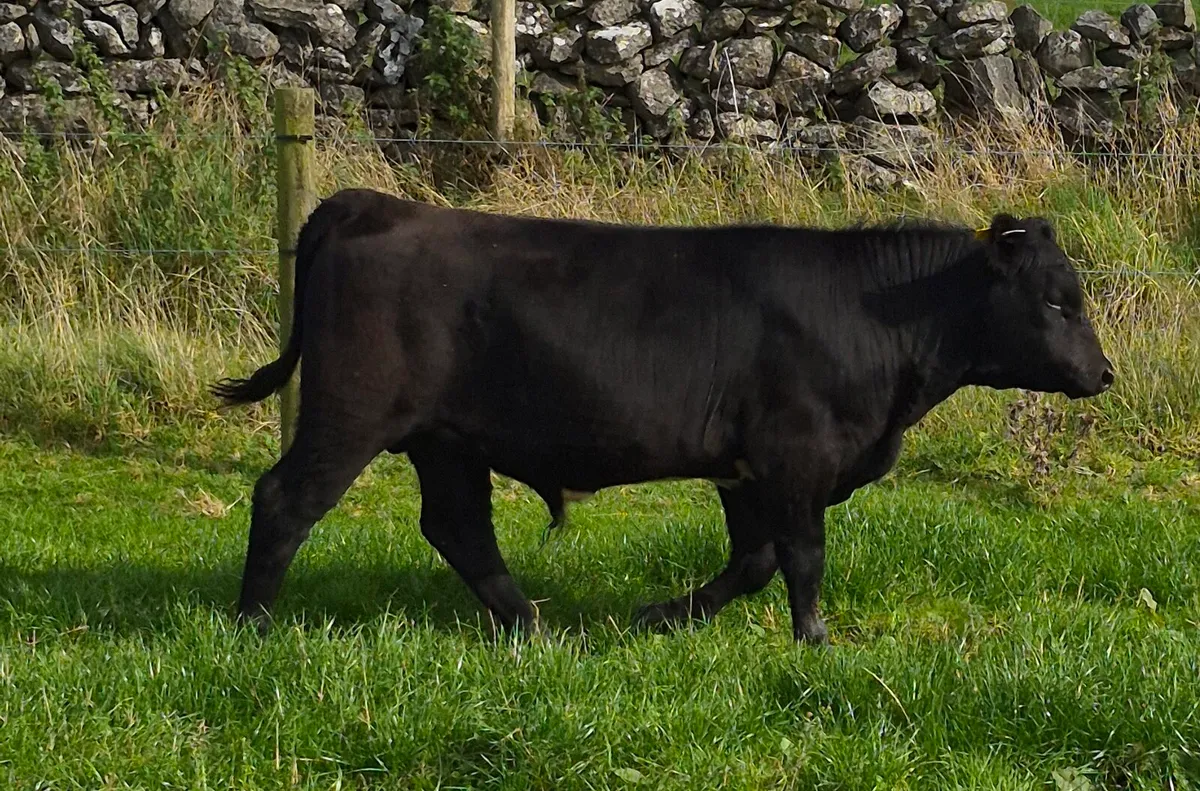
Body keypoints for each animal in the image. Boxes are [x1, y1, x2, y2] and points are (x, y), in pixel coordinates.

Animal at [211, 188, 1114, 645]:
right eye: (1056, 299)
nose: (1103, 373)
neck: (875, 312)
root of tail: (370, 202)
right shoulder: (797, 453)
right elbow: (803, 557)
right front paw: (816, 641)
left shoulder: (746, 468)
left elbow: (754, 560)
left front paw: (664, 615)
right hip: (353, 411)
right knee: (286, 499)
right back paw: (253, 624)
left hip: (445, 438)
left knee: (459, 527)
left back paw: (535, 628)